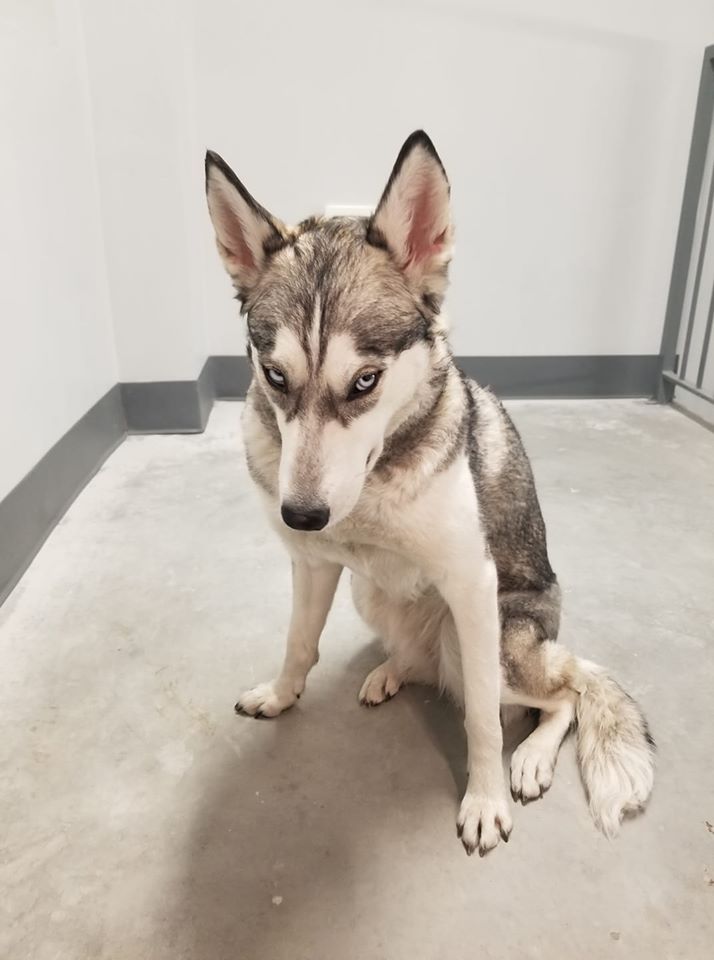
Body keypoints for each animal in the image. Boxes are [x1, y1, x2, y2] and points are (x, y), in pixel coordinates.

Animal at [203, 129, 652, 856]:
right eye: (274, 375)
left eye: (365, 381)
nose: (301, 514)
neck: (373, 487)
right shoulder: (315, 565)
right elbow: (299, 643)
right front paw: (280, 695)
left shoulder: (473, 584)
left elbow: (483, 722)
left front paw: (486, 798)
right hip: (374, 596)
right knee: (428, 664)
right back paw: (393, 672)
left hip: (492, 638)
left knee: (561, 696)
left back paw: (531, 757)